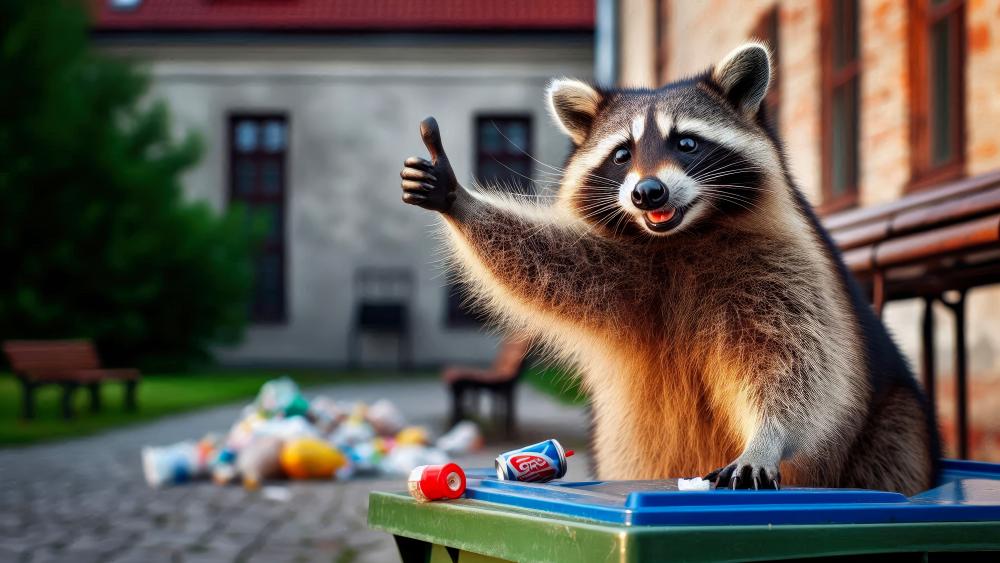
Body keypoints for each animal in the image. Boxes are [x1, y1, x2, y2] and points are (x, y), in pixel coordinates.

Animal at [398, 43, 936, 494]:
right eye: (622, 154)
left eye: (687, 144)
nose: (647, 193)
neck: (680, 237)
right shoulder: (621, 266)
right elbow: (545, 262)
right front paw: (460, 201)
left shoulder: (787, 267)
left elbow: (798, 365)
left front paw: (768, 437)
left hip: (895, 421)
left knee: (891, 453)